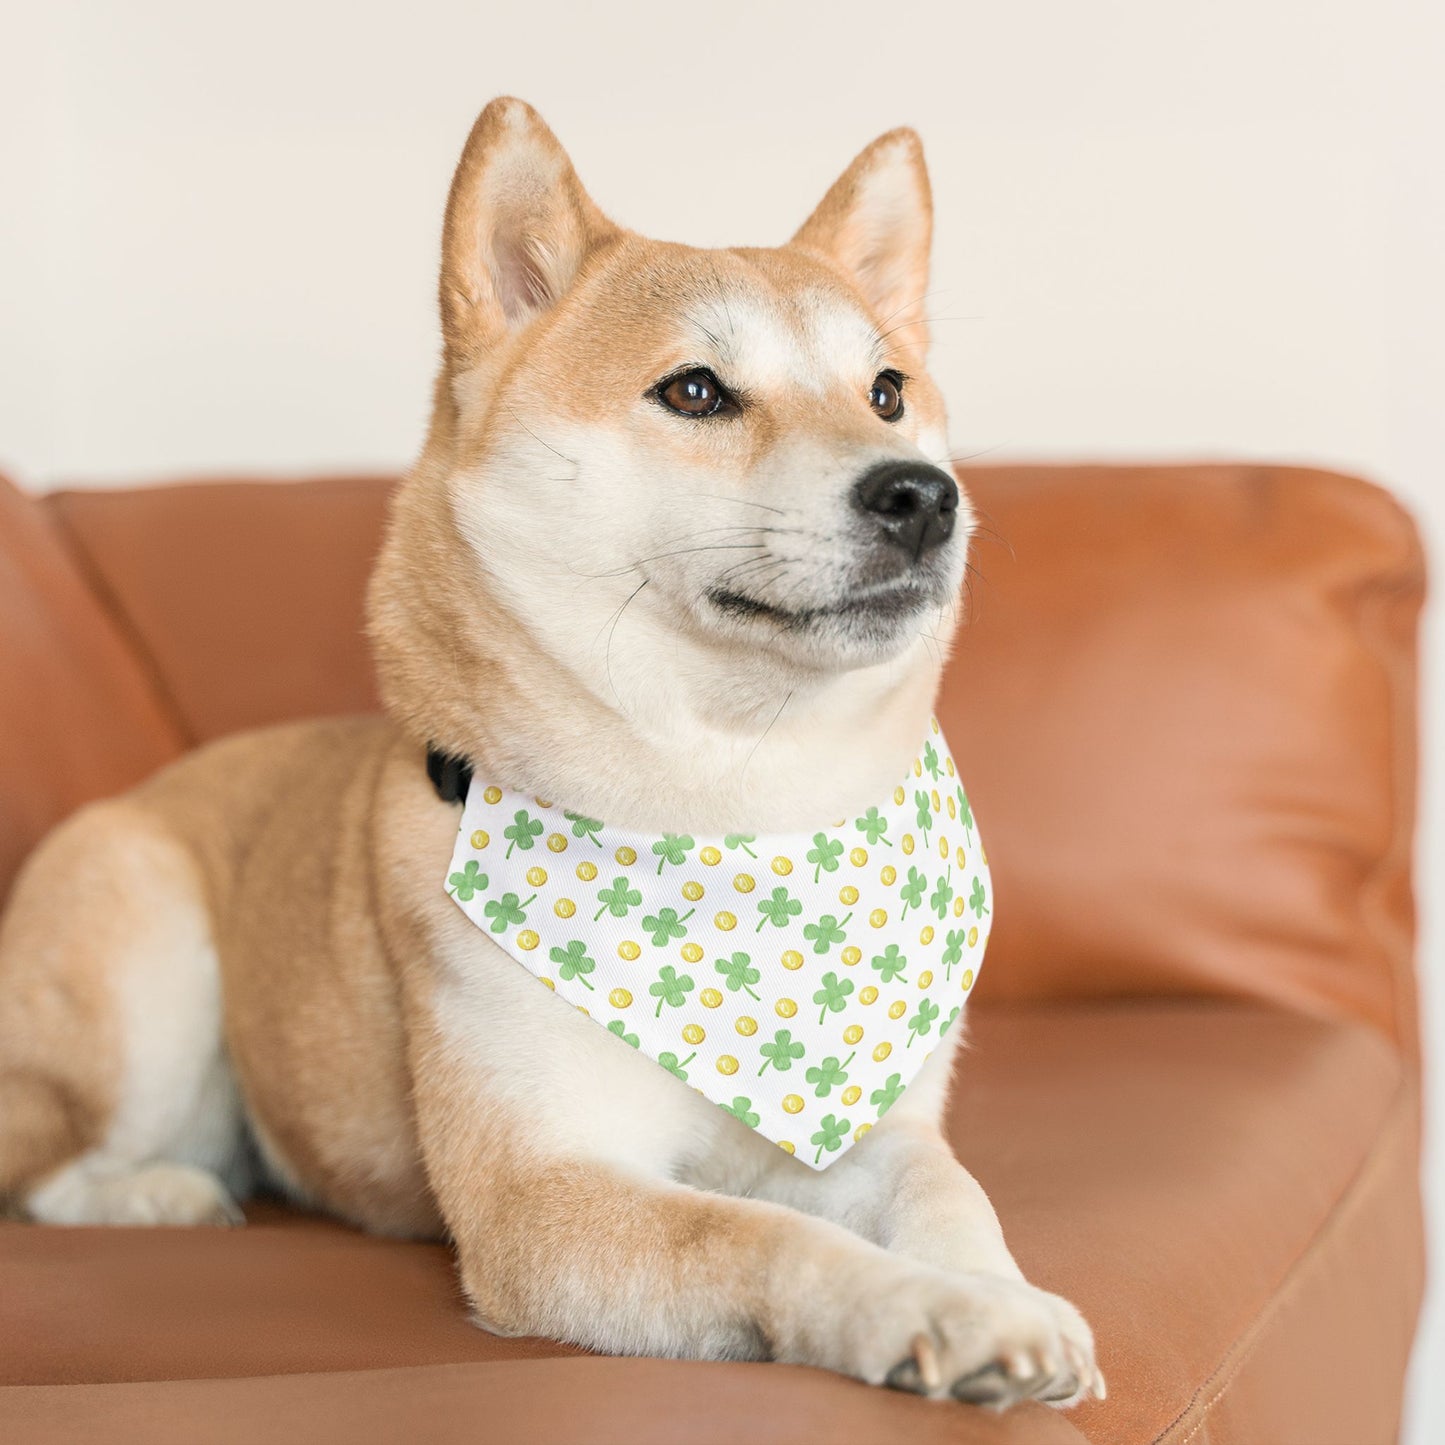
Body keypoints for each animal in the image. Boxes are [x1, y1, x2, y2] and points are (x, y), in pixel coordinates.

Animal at [0, 96, 1098, 1404]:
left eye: (886, 390)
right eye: (694, 390)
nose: (923, 495)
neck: (733, 808)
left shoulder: (875, 1126)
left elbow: (948, 1192)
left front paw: (1001, 1293)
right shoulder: (541, 1193)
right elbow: (765, 1235)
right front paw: (928, 1308)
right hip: (145, 962)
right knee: (48, 1164)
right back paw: (161, 1192)